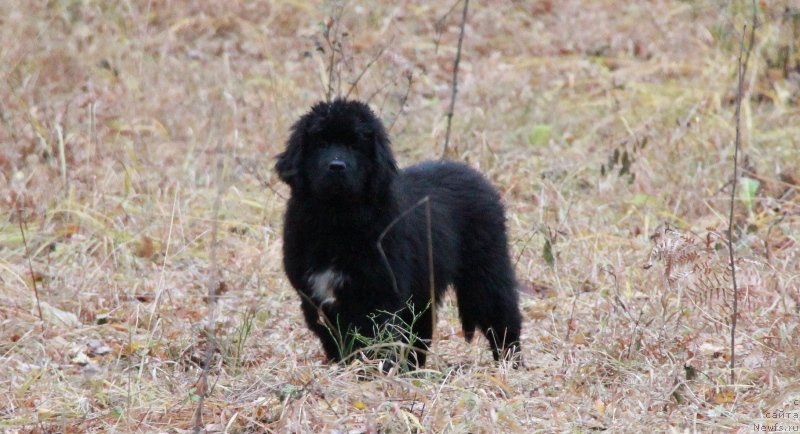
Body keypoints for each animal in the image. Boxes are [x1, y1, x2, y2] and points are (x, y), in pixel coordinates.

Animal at [278, 100, 520, 368]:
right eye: (320, 143)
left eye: (355, 145)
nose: (337, 166)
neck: (337, 219)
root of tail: (478, 177)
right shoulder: (315, 298)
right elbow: (335, 339)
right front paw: (345, 367)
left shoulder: (379, 294)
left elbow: (373, 338)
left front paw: (371, 371)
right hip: (424, 285)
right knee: (420, 331)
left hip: (485, 272)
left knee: (502, 317)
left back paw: (510, 365)